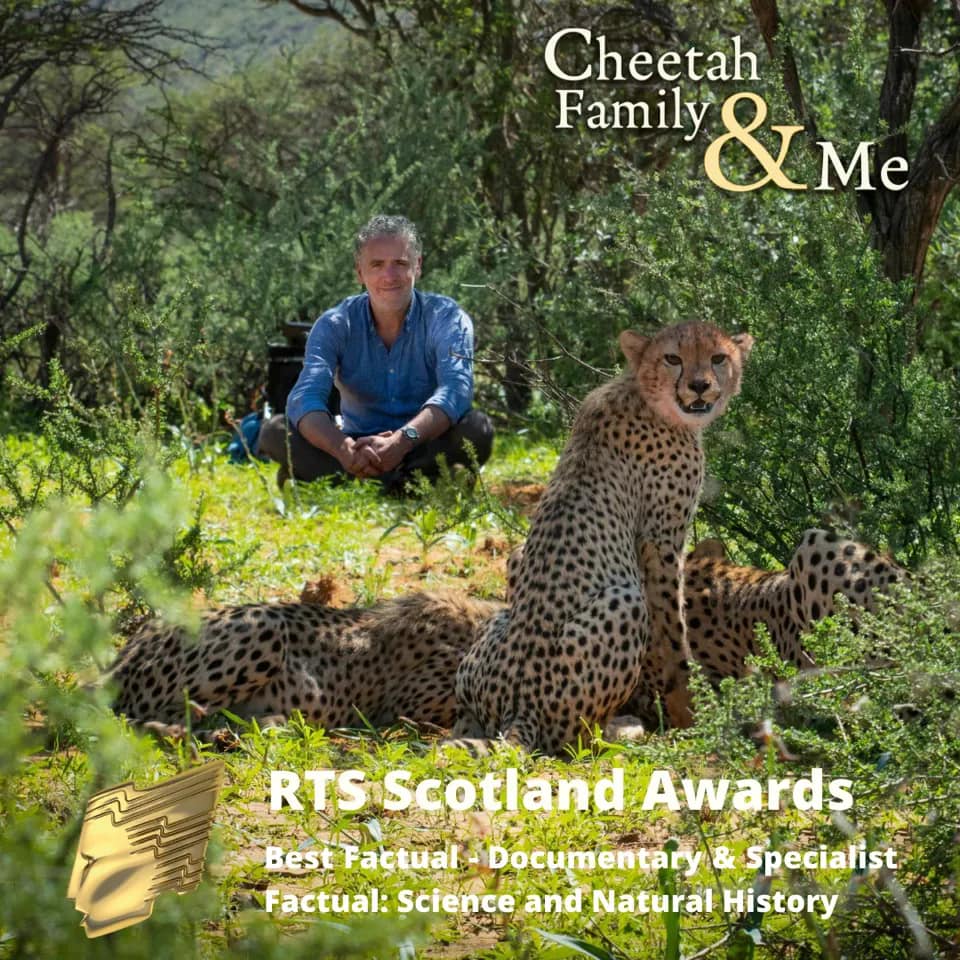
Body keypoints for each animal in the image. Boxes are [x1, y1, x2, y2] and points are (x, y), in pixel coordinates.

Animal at [449, 321, 754, 755]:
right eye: (672, 358)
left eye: (718, 357)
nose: (699, 386)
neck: (644, 393)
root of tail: (519, 708)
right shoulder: (662, 541)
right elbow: (673, 633)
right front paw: (688, 710)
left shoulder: (519, 557)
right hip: (624, 601)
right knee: (576, 738)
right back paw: (622, 729)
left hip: (495, 626)